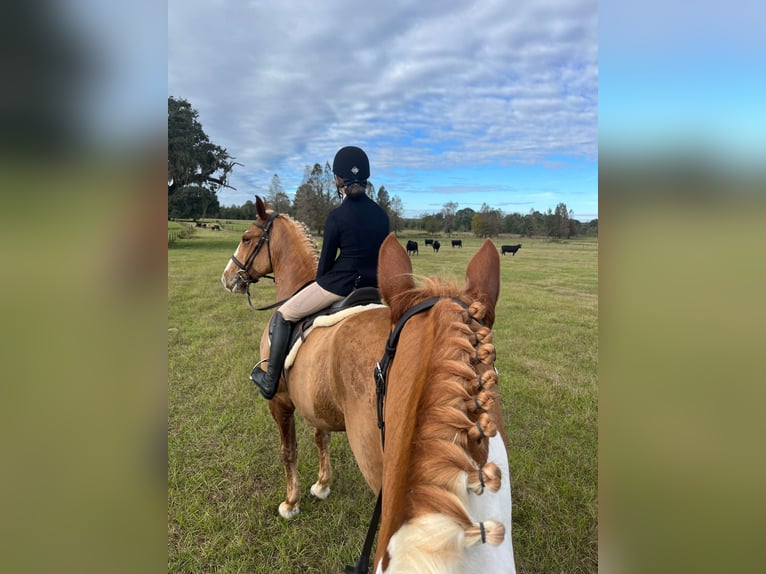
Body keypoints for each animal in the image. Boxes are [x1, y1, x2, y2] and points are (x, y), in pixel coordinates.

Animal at [225, 197, 520, 572]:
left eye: (247, 238)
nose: (228, 278)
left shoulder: (280, 402)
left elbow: (288, 451)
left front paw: (291, 503)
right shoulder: (316, 404)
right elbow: (321, 438)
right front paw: (322, 485)